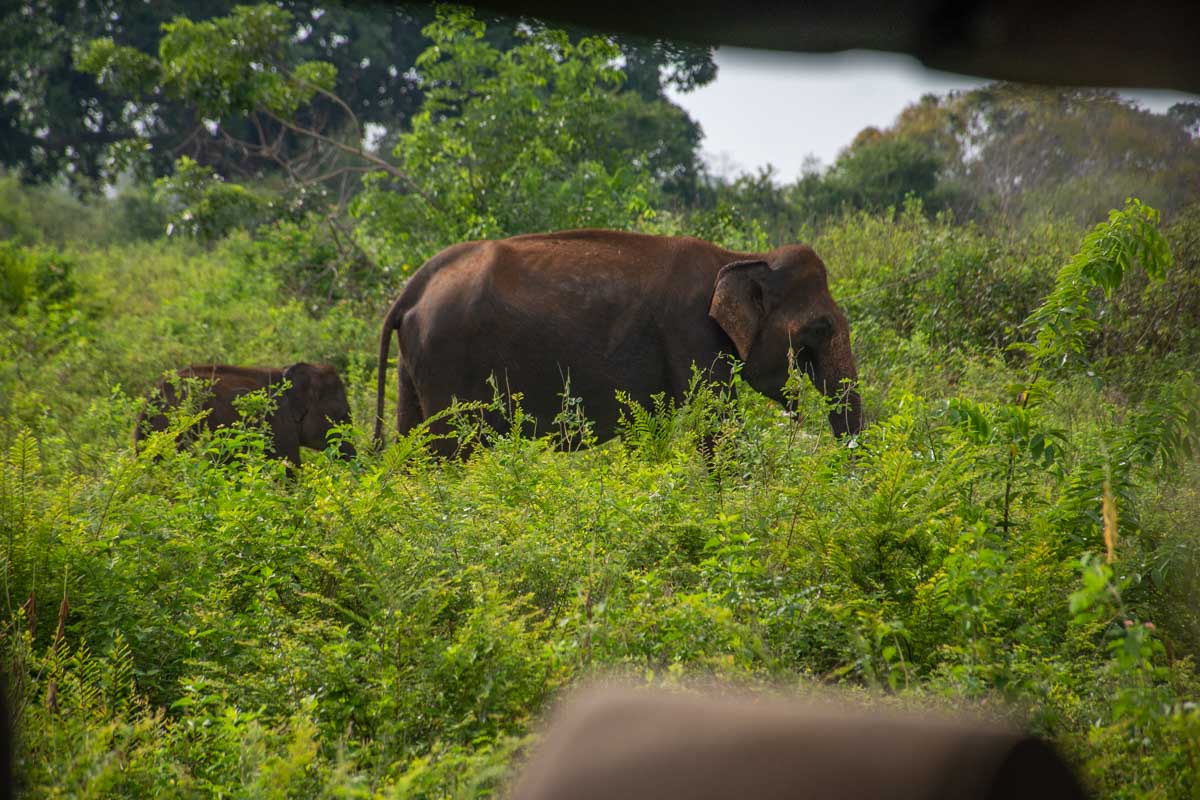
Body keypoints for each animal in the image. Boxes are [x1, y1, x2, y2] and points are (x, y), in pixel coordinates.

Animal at [374, 229, 862, 454]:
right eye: (820, 328)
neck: (738, 257)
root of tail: (412, 288)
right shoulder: (690, 332)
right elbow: (716, 423)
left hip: (415, 365)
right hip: (446, 360)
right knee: (449, 451)